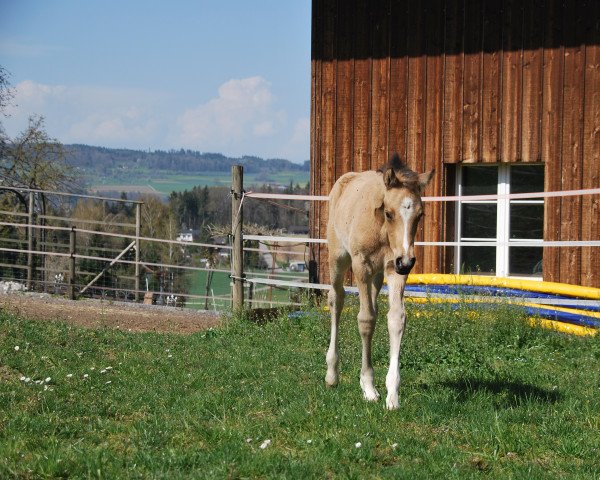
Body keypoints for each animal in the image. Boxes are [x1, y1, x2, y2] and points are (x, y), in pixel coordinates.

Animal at [326, 156, 434, 410]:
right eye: (388, 212)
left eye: (420, 215)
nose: (407, 261)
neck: (382, 231)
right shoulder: (362, 265)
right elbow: (365, 320)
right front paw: (368, 387)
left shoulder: (394, 269)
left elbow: (396, 319)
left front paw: (392, 394)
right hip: (338, 258)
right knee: (336, 299)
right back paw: (332, 374)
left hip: (377, 275)